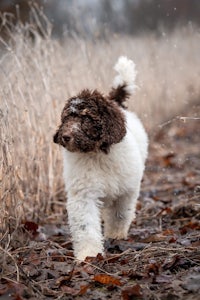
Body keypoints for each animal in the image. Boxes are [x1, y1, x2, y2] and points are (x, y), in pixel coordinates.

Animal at [54, 56, 148, 260]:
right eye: (66, 118)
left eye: (87, 118)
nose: (65, 136)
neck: (96, 154)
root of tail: (116, 102)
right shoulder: (83, 195)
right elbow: (86, 226)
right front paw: (88, 255)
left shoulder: (126, 190)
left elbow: (120, 214)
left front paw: (116, 235)